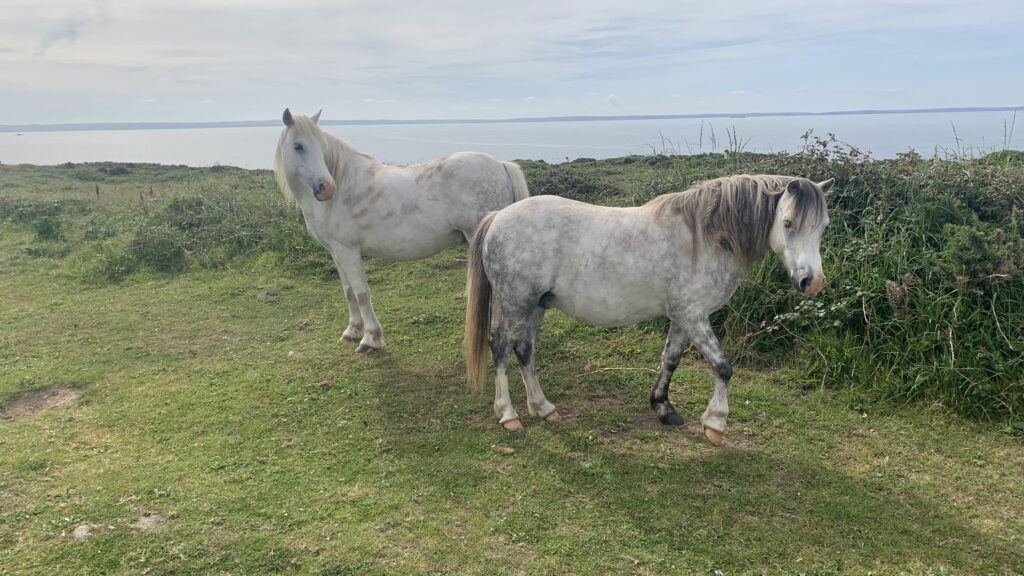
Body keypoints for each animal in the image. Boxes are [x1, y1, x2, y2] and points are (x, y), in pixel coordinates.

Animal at [274, 108, 530, 352]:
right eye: (298, 146)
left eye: (322, 146)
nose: (327, 187)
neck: (342, 188)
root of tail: (501, 164)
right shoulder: (336, 252)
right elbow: (348, 291)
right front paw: (352, 330)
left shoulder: (348, 251)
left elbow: (361, 293)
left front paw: (370, 339)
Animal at [464, 174, 832, 444]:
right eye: (788, 223)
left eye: (824, 226)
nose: (811, 282)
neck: (706, 237)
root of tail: (498, 217)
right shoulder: (694, 316)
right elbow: (723, 367)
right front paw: (715, 423)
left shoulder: (683, 317)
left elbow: (670, 359)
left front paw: (663, 407)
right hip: (516, 302)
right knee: (501, 348)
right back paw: (509, 415)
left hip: (536, 305)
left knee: (525, 350)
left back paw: (542, 408)